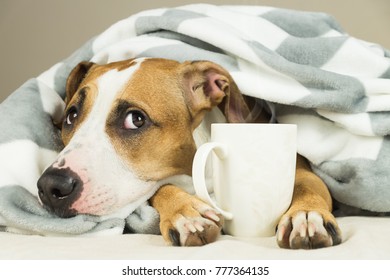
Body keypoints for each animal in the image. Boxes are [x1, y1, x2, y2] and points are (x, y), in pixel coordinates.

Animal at [37, 57, 342, 249]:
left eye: (135, 119)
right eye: (71, 116)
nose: (51, 186)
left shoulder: (302, 169)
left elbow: (307, 184)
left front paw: (306, 215)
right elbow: (161, 188)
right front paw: (185, 213)